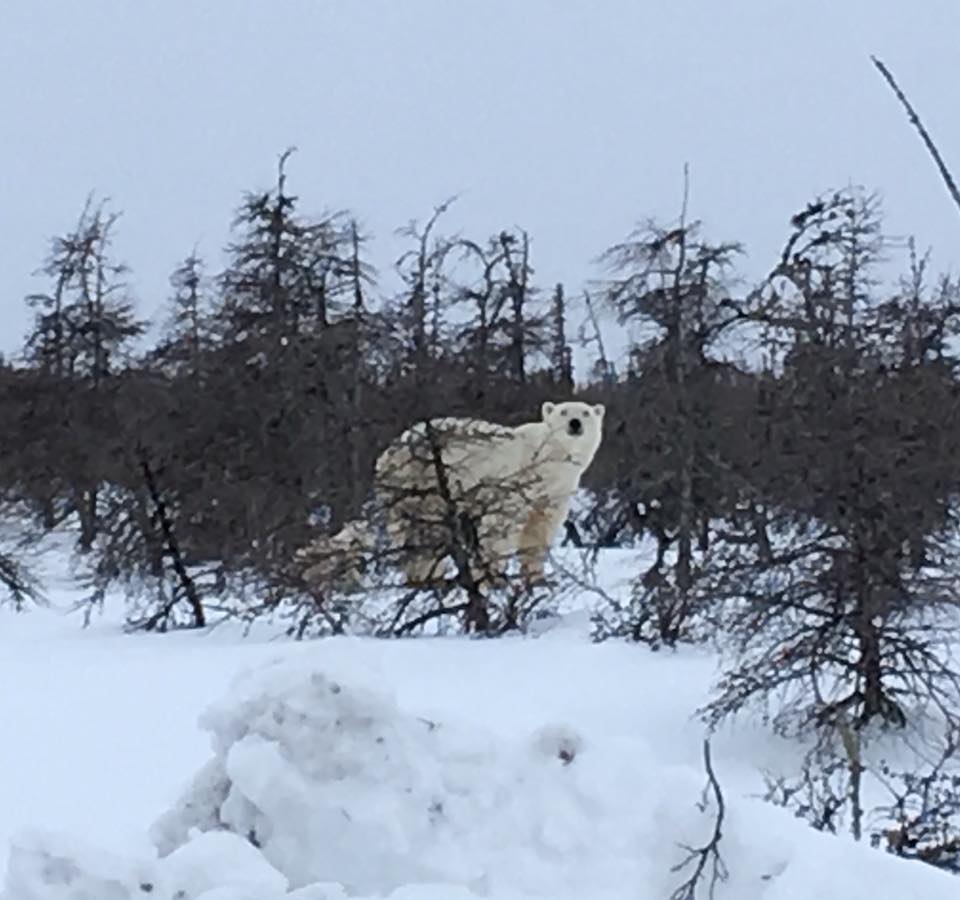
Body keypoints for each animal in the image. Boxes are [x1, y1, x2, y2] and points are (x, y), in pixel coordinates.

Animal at [297, 399, 605, 590]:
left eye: (586, 413)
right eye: (563, 412)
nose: (575, 423)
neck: (546, 459)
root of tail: (389, 453)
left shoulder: (555, 492)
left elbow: (539, 530)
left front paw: (539, 579)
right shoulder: (513, 479)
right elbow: (501, 527)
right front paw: (495, 578)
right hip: (420, 480)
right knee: (426, 531)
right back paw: (431, 578)